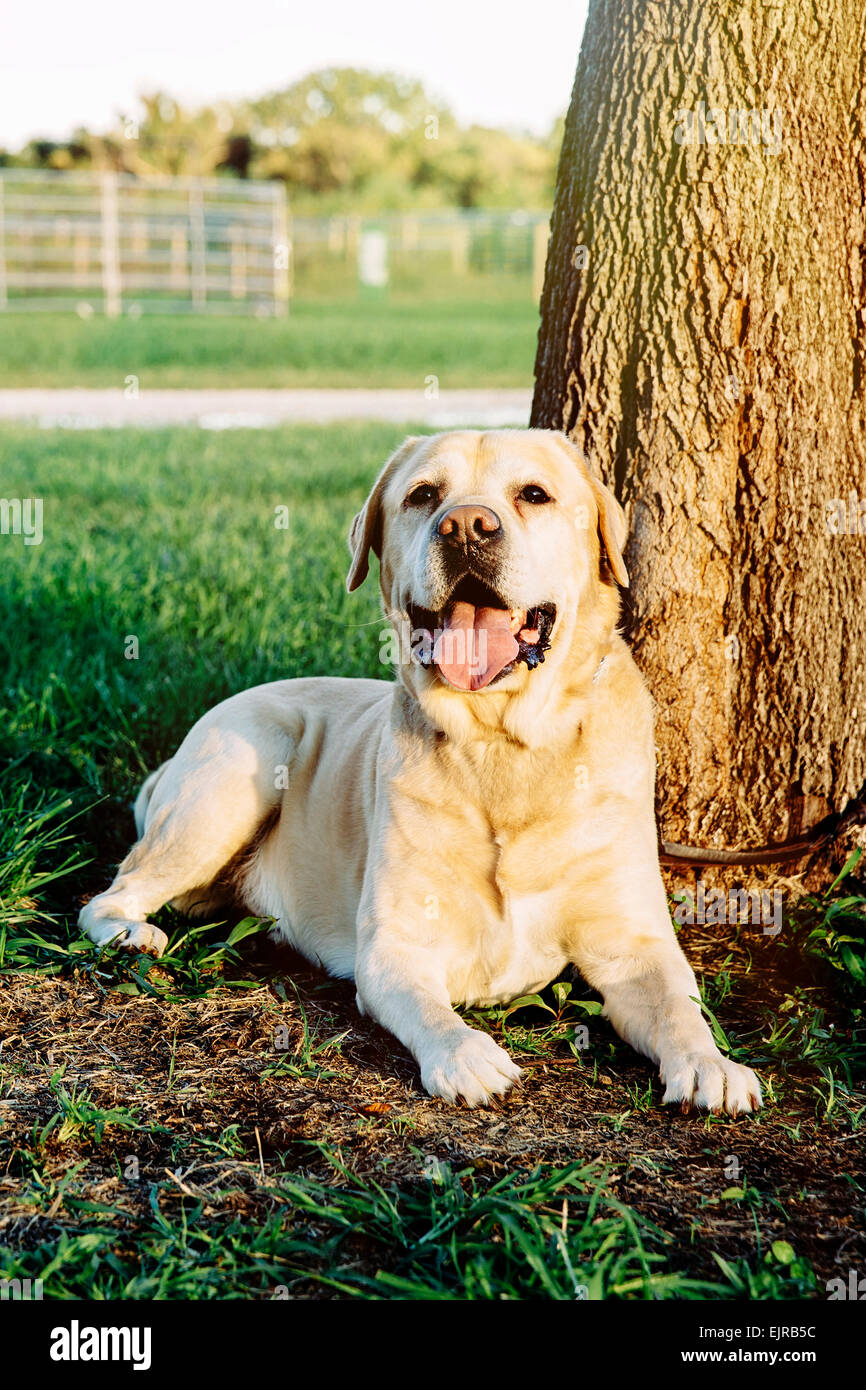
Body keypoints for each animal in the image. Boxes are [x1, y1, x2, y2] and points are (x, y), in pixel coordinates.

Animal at [79, 428, 756, 1112]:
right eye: (424, 495)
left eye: (534, 494)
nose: (465, 527)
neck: (500, 740)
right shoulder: (395, 948)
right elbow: (430, 1010)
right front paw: (465, 1054)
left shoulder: (634, 944)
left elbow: (679, 1007)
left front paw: (712, 1064)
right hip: (241, 769)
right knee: (108, 895)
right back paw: (131, 933)